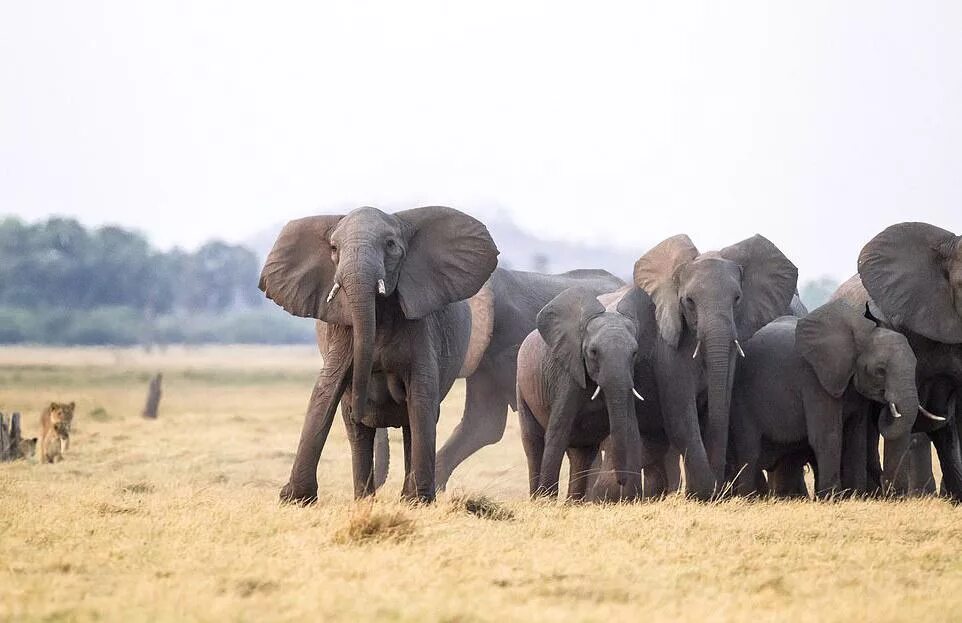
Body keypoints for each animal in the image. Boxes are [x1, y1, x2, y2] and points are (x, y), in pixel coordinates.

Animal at [258, 207, 498, 504]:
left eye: (391, 245)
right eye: (334, 249)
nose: (361, 408)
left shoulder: (422, 327)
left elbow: (421, 395)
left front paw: (420, 502)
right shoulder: (342, 329)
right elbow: (327, 389)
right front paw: (294, 499)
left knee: (413, 423)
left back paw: (406, 498)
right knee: (359, 432)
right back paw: (364, 500)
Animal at [512, 288, 656, 502]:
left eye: (634, 353)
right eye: (593, 352)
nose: (621, 481)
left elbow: (631, 429)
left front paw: (632, 500)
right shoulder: (567, 375)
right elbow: (557, 431)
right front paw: (546, 501)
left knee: (581, 455)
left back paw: (573, 503)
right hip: (521, 387)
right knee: (533, 443)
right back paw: (538, 499)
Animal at [732, 300, 940, 500]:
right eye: (880, 371)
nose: (887, 406)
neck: (858, 337)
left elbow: (856, 437)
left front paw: (854, 496)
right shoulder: (815, 379)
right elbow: (828, 436)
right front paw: (831, 498)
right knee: (750, 452)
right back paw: (748, 498)